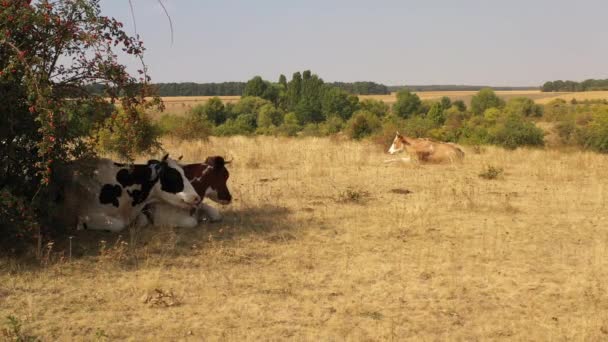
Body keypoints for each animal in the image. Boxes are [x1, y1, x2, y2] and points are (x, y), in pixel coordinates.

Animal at [58, 155, 200, 232]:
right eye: (173, 176)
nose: (196, 198)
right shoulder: (88, 215)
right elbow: (119, 225)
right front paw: (80, 227)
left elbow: (143, 220)